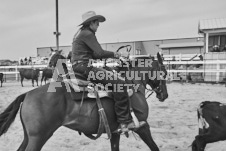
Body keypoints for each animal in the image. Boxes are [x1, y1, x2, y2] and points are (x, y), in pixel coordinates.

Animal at [0, 51, 168, 151]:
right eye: (164, 72)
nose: (164, 95)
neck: (131, 84)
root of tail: (27, 94)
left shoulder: (115, 132)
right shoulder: (142, 126)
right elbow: (154, 147)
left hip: (29, 136)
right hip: (38, 137)